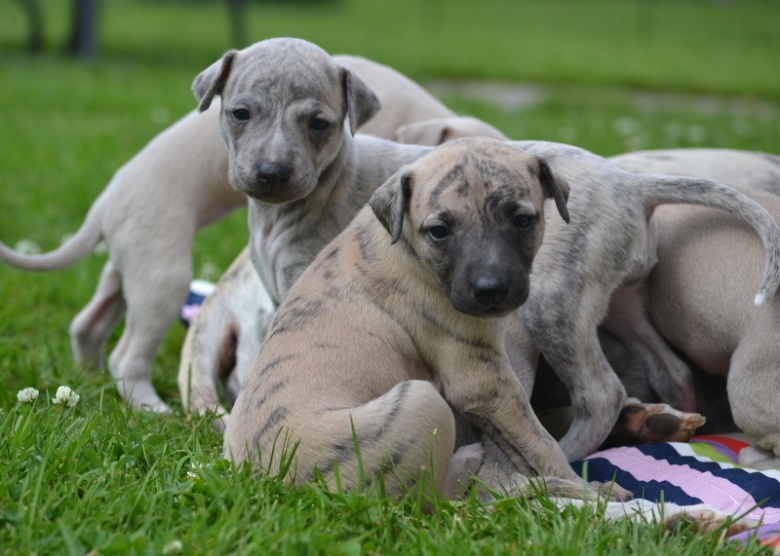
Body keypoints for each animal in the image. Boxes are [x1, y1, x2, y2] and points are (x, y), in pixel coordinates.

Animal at [0, 43, 505, 412]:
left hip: (133, 267)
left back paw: (88, 379)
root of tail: (104, 203)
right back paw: (150, 408)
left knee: (90, 323)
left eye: (319, 124)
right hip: (161, 272)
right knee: (126, 354)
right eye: (241, 113)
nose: (271, 173)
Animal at [223, 137, 619, 501]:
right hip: (419, 401)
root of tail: (267, 485)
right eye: (440, 230)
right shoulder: (483, 381)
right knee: (430, 503)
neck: (405, 243)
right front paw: (589, 490)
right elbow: (542, 442)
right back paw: (466, 466)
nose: (490, 289)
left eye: (522, 220)